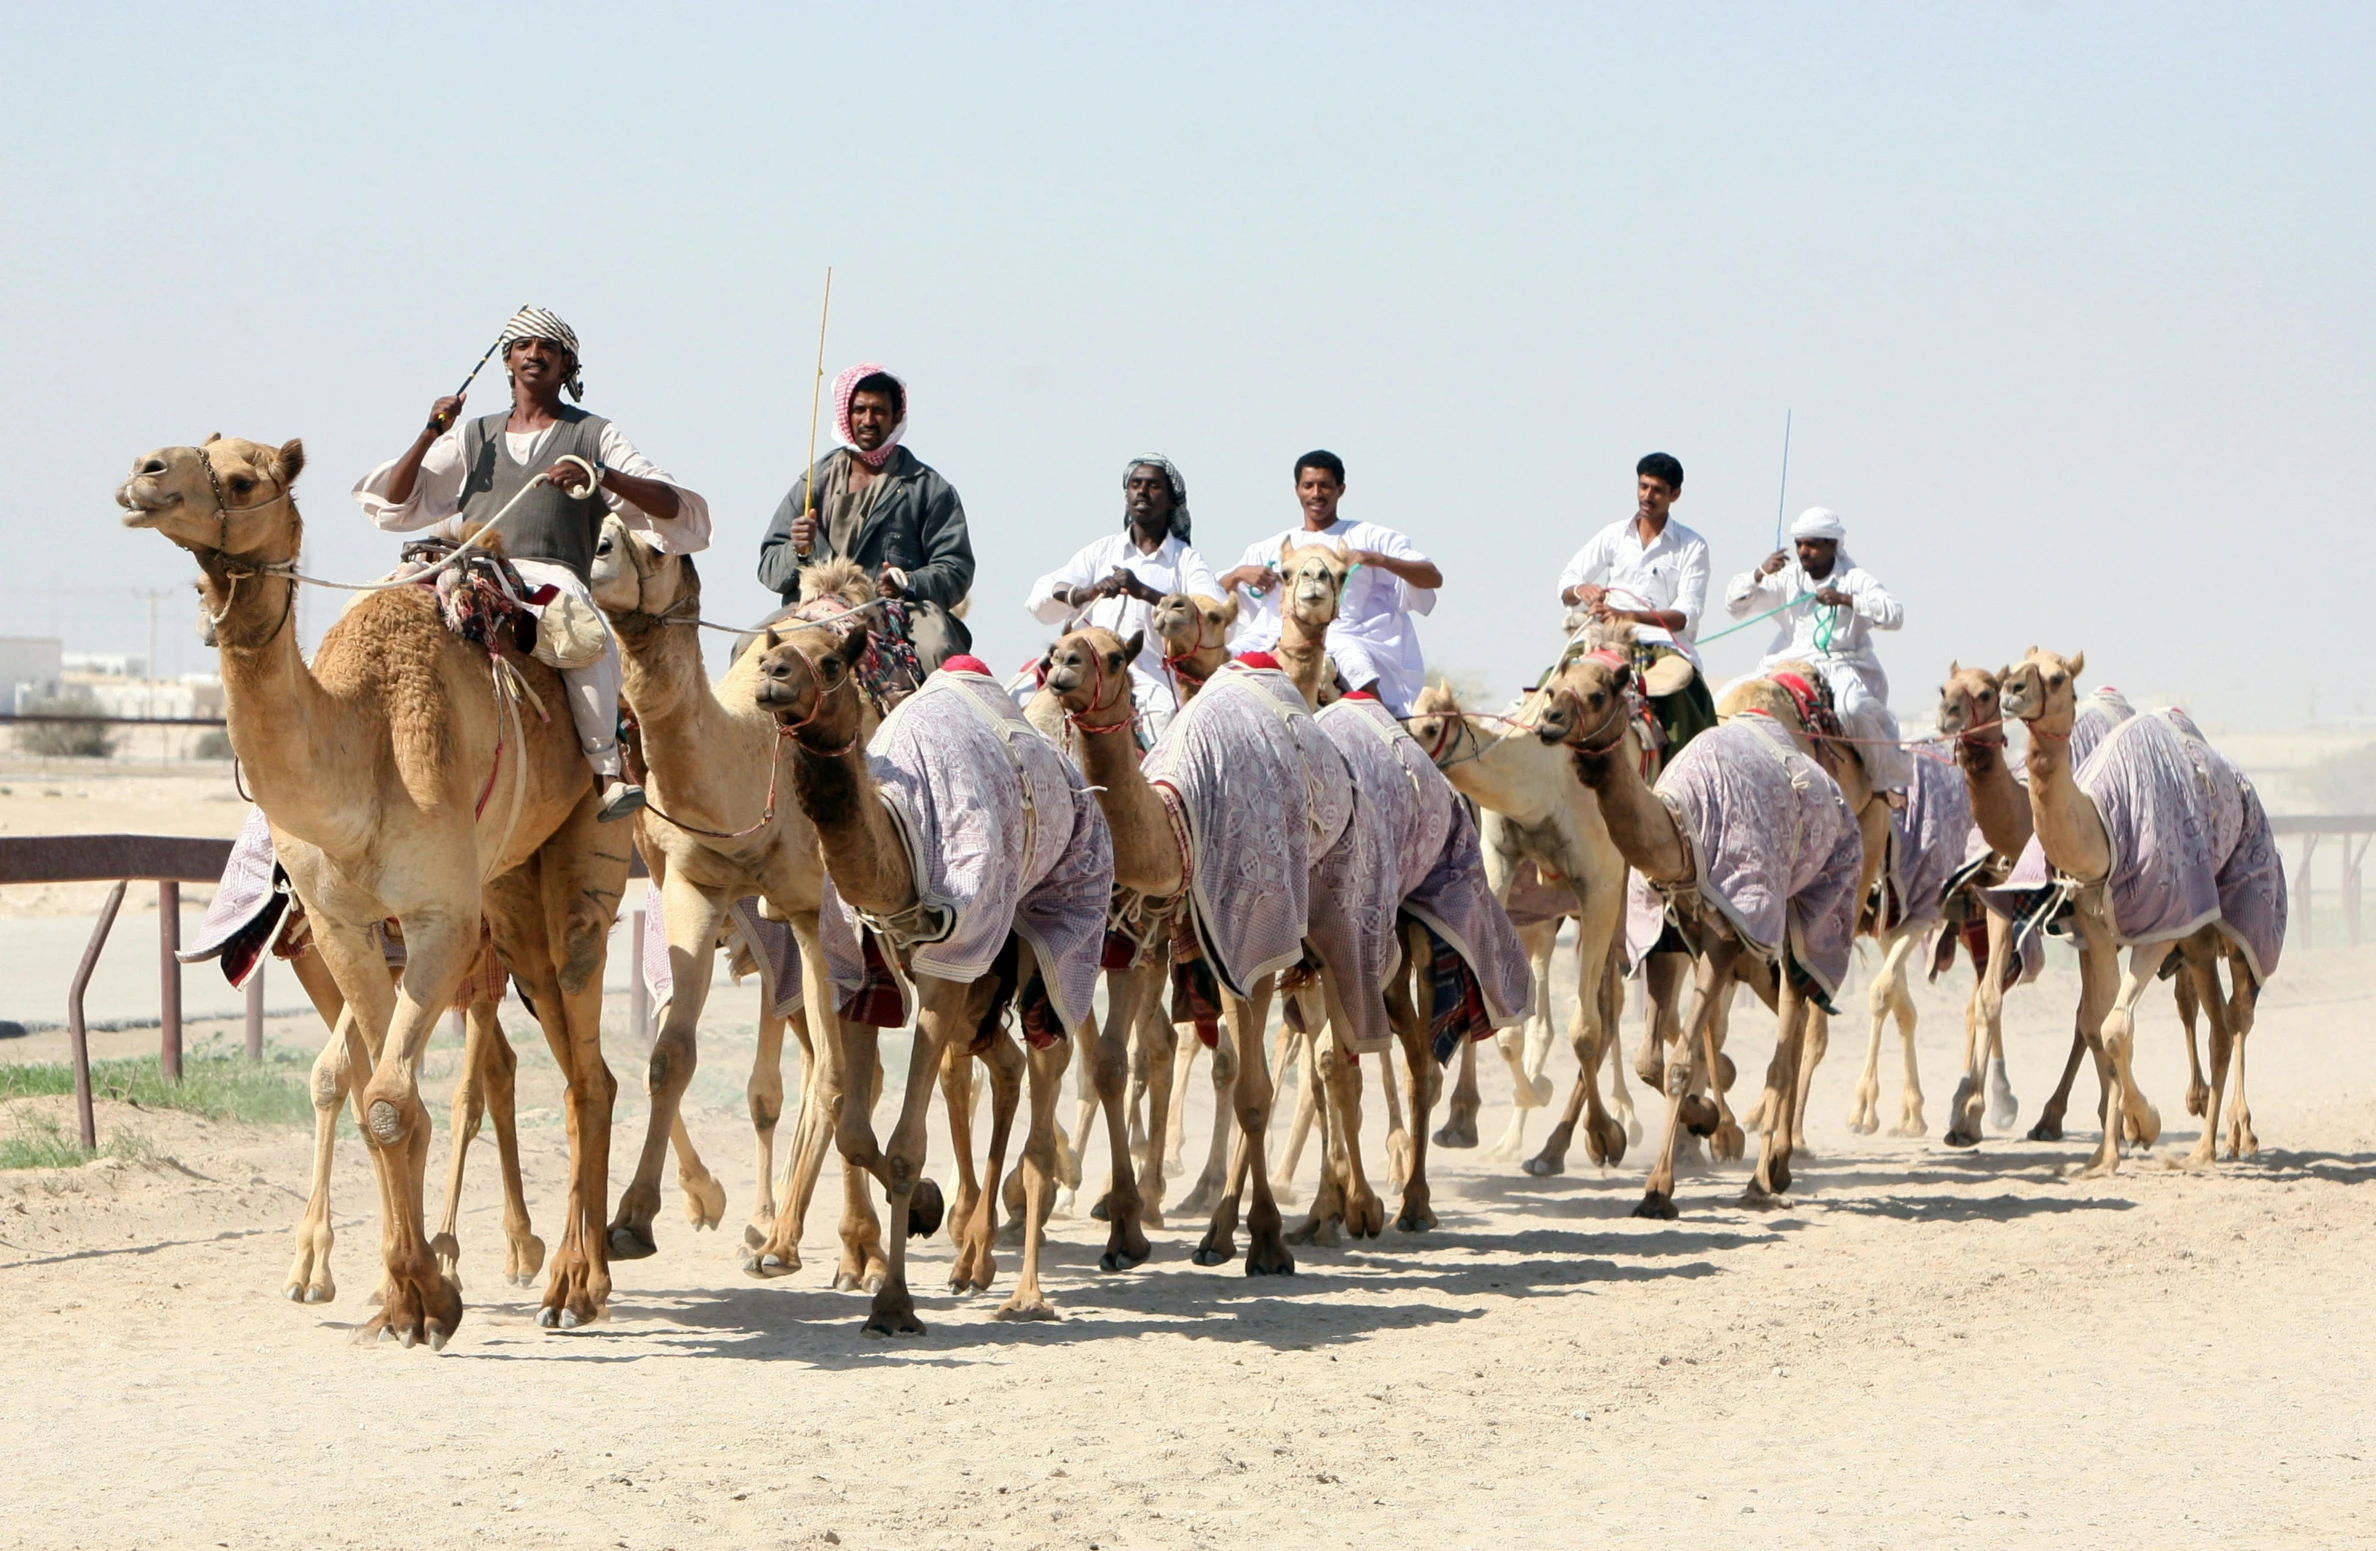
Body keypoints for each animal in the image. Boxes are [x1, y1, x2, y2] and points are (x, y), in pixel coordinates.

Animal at [118, 434, 632, 1339]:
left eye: (242, 478)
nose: (144, 474)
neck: (359, 748)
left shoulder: (437, 919)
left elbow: (393, 1097)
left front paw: (429, 1293)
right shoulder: (339, 925)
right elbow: (372, 1097)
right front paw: (401, 1294)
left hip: (578, 859)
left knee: (584, 1064)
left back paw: (575, 1282)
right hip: (507, 897)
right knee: (566, 1065)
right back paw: (556, 1267)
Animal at [584, 527, 893, 1292]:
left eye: (658, 548)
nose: (598, 546)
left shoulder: (811, 911)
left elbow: (830, 1077)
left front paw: (807, 1240)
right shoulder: (694, 890)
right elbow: (670, 1055)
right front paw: (638, 1218)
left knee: (849, 1071)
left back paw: (852, 1248)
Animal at [750, 622, 1111, 1320]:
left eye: (831, 662)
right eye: (770, 652)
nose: (773, 675)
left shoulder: (951, 965)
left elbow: (905, 1146)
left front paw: (892, 1305)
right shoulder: (859, 969)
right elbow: (850, 1122)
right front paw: (919, 1211)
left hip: (1057, 932)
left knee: (1044, 1081)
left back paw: (1026, 1293)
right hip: (986, 985)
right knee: (1003, 1065)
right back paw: (973, 1260)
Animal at [1530, 646, 1862, 1216]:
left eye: (1597, 694)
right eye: (1552, 689)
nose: (1549, 722)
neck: (1680, 836)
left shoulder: (1727, 938)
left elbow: (1682, 1061)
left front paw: (1659, 1189)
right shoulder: (1664, 940)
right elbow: (1651, 1063)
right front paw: (1704, 1119)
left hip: (1804, 917)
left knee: (1791, 1032)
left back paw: (1763, 1175)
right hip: (1762, 954)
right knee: (1793, 1027)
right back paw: (1775, 1163)